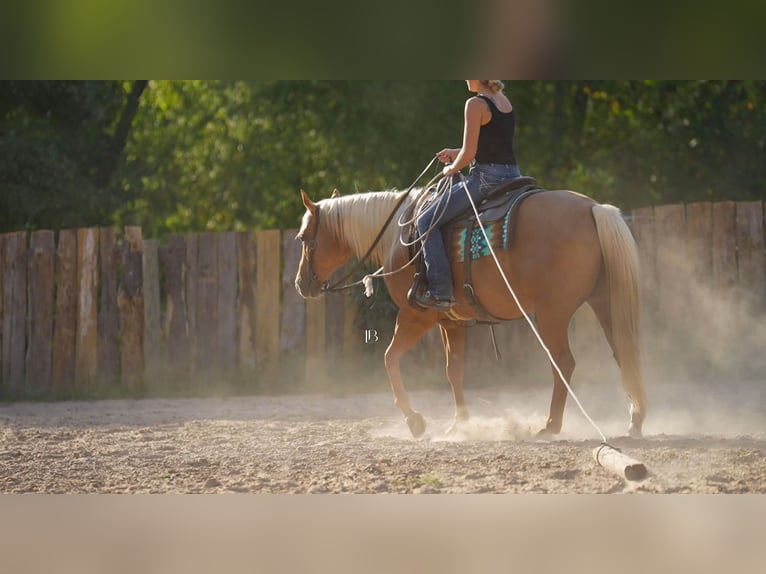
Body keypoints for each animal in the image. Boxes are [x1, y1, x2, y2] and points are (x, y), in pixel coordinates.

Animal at [294, 184, 647, 439]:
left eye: (305, 238)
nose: (301, 284)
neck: (400, 236)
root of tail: (593, 209)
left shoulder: (415, 316)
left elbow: (389, 359)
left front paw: (415, 421)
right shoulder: (450, 322)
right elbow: (454, 370)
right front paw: (459, 424)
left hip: (552, 314)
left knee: (563, 362)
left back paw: (550, 425)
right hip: (603, 301)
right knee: (624, 353)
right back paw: (635, 421)